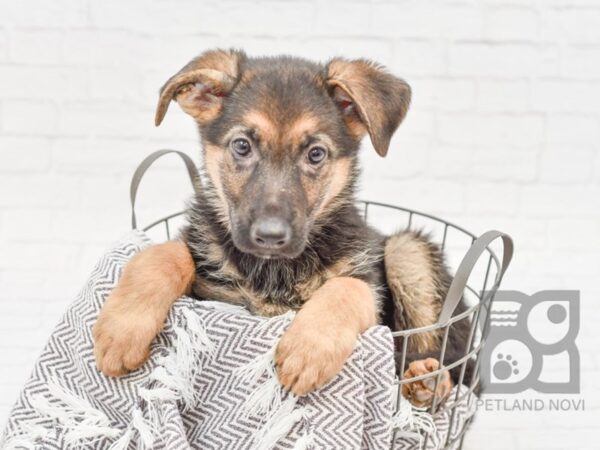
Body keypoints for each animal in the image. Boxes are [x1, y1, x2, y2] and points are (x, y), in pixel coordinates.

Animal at [94, 49, 472, 408]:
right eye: (242, 146)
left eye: (316, 154)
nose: (270, 237)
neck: (274, 270)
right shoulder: (208, 289)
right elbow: (163, 253)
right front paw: (121, 330)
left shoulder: (370, 290)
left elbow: (348, 287)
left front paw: (308, 348)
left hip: (407, 252)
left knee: (444, 359)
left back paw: (430, 380)